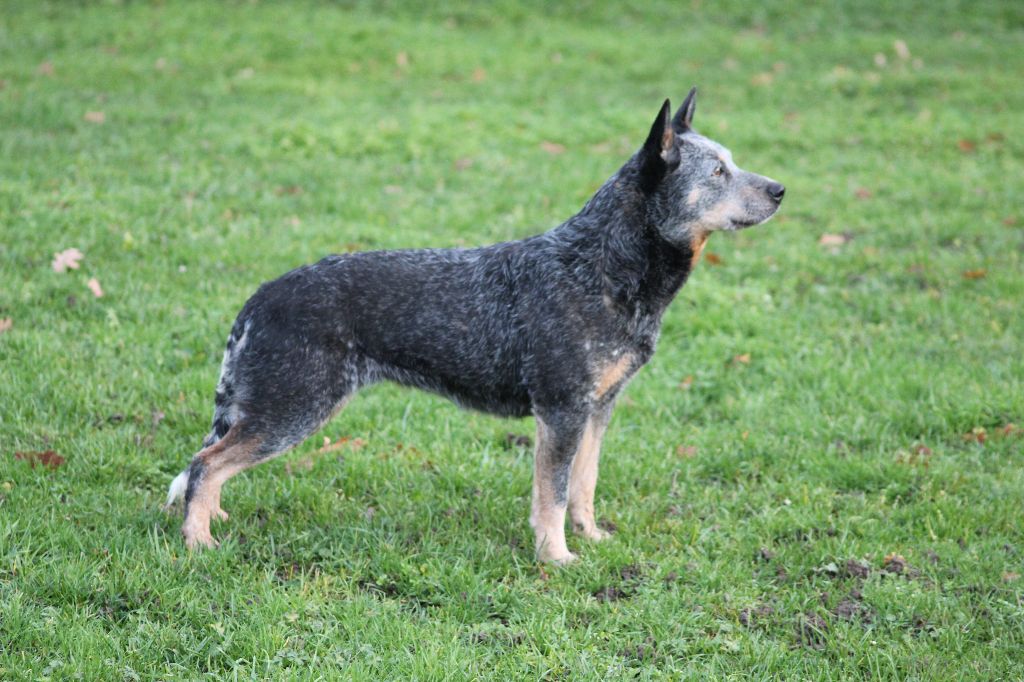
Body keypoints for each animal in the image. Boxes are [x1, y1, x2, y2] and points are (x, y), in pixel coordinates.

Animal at [166, 88, 784, 563]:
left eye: (733, 161)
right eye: (718, 171)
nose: (781, 189)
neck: (602, 266)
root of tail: (261, 296)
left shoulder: (598, 409)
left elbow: (583, 485)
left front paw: (590, 537)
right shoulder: (561, 411)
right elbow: (553, 495)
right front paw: (556, 558)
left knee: (211, 465)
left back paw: (215, 518)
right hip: (294, 410)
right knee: (204, 464)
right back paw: (198, 542)